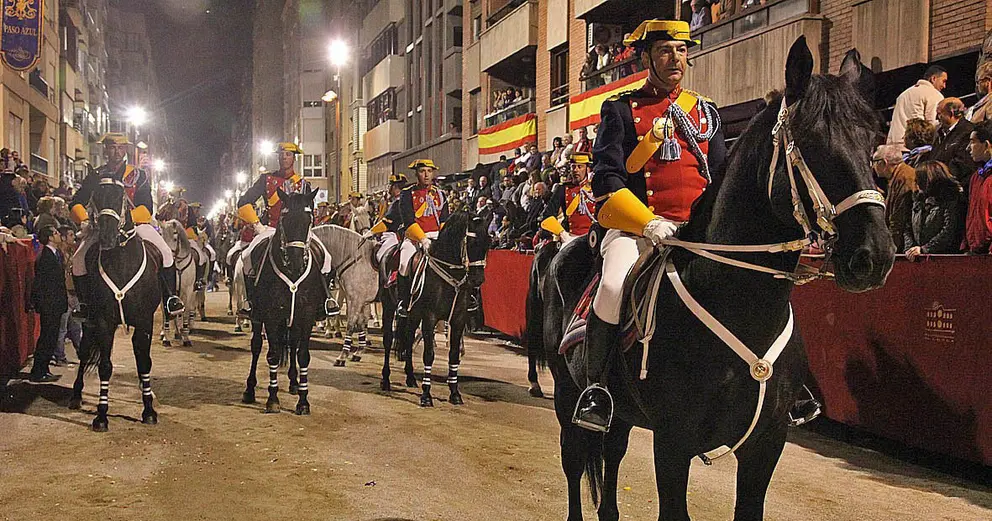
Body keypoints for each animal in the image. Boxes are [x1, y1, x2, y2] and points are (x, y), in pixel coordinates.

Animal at [67, 179, 165, 431]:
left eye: (120, 196)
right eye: (96, 197)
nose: (107, 237)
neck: (122, 262)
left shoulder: (144, 321)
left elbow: (144, 362)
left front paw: (149, 410)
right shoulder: (103, 322)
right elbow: (105, 366)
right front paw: (101, 415)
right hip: (89, 324)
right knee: (84, 354)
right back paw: (75, 395)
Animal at [241, 188, 326, 415]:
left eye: (309, 219)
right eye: (284, 218)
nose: (296, 261)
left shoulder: (306, 316)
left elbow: (303, 354)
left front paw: (303, 401)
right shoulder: (271, 315)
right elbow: (272, 354)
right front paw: (272, 399)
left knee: (292, 344)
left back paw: (294, 383)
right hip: (258, 317)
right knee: (256, 346)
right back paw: (249, 390)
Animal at [311, 225, 379, 367]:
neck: (356, 258)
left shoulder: (356, 300)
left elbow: (351, 324)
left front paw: (342, 356)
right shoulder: (360, 301)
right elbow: (361, 323)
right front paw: (358, 352)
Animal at [382, 209, 491, 407]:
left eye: (489, 243)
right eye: (471, 243)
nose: (477, 280)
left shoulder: (458, 320)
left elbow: (454, 355)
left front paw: (455, 393)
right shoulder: (429, 318)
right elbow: (429, 354)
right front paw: (426, 395)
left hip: (413, 315)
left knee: (408, 339)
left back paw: (410, 377)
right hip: (389, 307)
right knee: (388, 340)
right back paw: (385, 380)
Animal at [528, 39, 894, 521]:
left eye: (873, 139)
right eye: (811, 142)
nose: (875, 256)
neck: (739, 304)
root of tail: (564, 246)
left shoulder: (765, 447)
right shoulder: (672, 443)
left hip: (619, 411)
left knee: (612, 458)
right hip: (568, 392)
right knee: (574, 463)